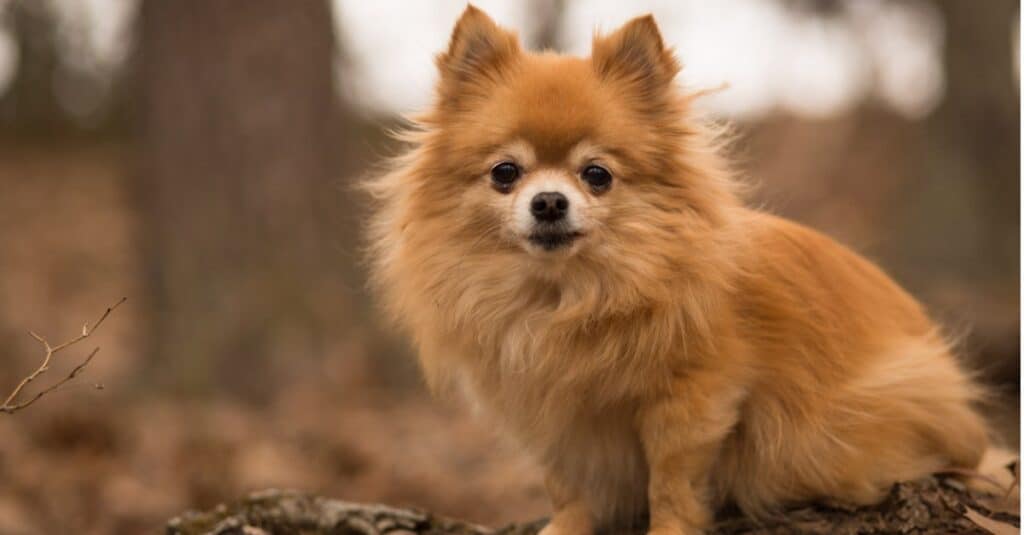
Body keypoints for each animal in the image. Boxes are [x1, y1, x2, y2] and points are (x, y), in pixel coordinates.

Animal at [364, 6, 995, 528]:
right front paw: (565, 526)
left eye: (597, 175)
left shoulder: (693, 401)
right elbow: (568, 487)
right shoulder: (555, 419)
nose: (548, 202)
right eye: (505, 173)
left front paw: (669, 526)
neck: (566, 296)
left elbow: (672, 484)